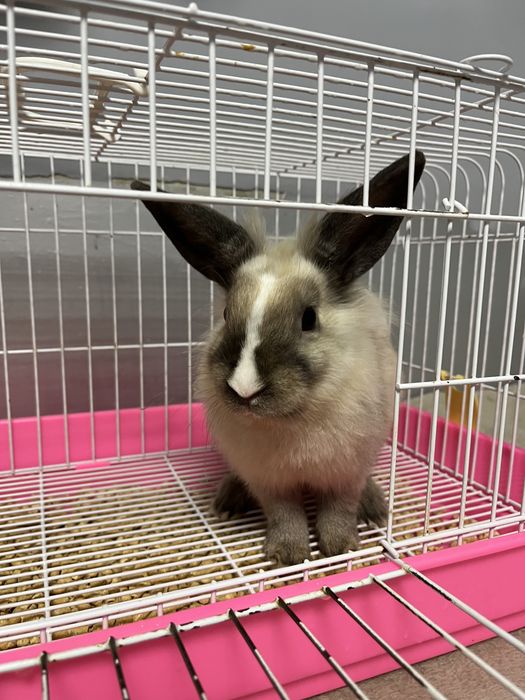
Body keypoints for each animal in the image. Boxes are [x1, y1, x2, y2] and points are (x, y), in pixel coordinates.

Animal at [132, 149, 425, 566]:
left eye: (309, 318)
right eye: (226, 315)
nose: (244, 390)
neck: (293, 419)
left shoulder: (347, 471)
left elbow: (338, 509)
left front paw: (340, 546)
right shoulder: (268, 480)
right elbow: (285, 514)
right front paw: (289, 553)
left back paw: (374, 508)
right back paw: (227, 501)